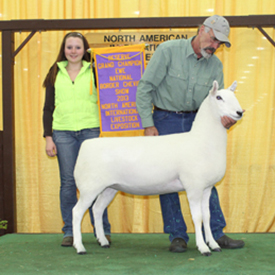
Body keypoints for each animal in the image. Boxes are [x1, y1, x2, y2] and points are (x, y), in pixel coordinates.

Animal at [73, 80, 244, 256]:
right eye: (219, 97)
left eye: (234, 95)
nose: (239, 112)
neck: (202, 140)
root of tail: (85, 145)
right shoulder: (193, 186)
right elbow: (197, 217)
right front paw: (203, 248)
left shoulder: (207, 188)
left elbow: (207, 216)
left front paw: (214, 244)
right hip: (89, 187)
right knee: (77, 212)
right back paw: (79, 247)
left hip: (109, 187)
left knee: (97, 209)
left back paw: (103, 241)